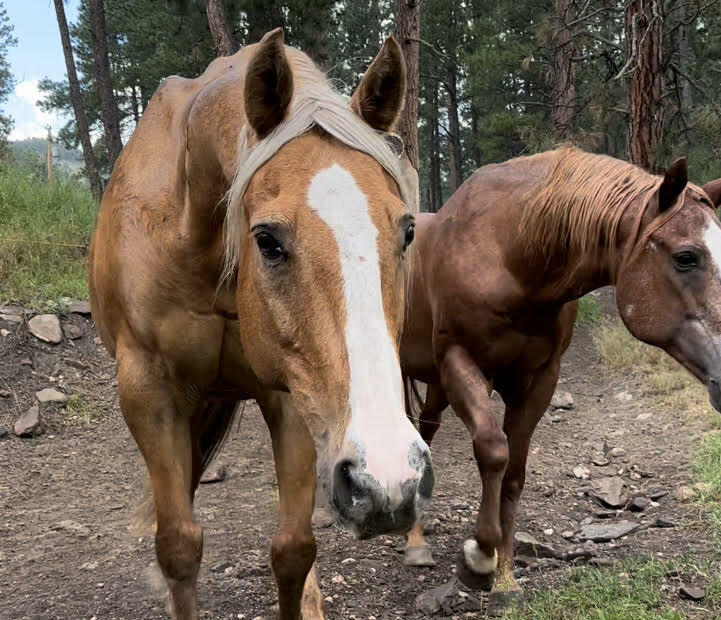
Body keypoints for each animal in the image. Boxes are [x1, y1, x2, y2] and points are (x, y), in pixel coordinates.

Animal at [88, 29, 434, 620]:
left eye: (408, 231)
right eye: (267, 240)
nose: (389, 479)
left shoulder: (290, 389)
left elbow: (294, 549)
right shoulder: (147, 389)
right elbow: (178, 545)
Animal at [399, 146, 721, 613]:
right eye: (685, 257)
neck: (511, 255)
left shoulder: (539, 380)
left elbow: (513, 473)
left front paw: (505, 577)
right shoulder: (461, 363)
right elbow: (493, 450)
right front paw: (479, 556)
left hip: (437, 386)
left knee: (427, 429)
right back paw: (413, 542)